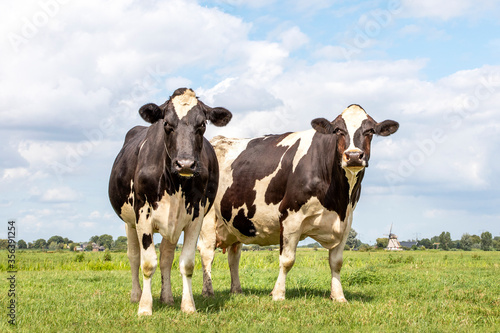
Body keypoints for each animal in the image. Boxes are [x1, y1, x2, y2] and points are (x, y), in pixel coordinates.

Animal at [108, 87, 231, 314]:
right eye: (166, 124)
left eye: (202, 125)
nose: (185, 163)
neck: (175, 184)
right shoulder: (143, 215)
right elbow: (147, 263)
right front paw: (145, 307)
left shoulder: (195, 217)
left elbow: (186, 263)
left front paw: (188, 306)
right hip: (129, 222)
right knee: (133, 257)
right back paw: (136, 295)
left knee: (166, 258)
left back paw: (167, 298)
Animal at [195, 105, 398, 300]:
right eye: (338, 130)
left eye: (370, 131)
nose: (354, 156)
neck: (338, 200)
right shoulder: (290, 217)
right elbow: (287, 260)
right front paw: (278, 294)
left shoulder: (346, 221)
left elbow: (336, 262)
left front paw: (339, 296)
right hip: (208, 218)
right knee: (207, 253)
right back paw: (208, 291)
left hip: (235, 220)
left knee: (234, 255)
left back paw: (237, 290)